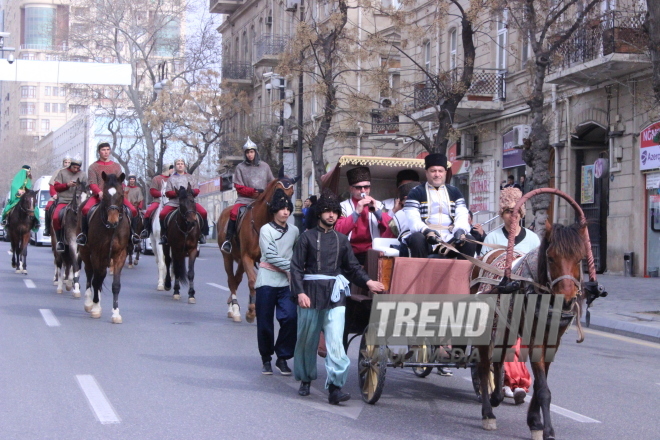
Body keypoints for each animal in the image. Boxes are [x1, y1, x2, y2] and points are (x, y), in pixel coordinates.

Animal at [78, 174, 130, 324]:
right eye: (105, 195)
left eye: (121, 194)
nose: (113, 221)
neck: (111, 230)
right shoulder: (96, 253)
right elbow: (96, 280)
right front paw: (95, 308)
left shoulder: (120, 255)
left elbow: (115, 285)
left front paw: (116, 313)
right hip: (85, 252)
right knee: (91, 274)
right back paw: (90, 303)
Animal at [218, 175, 296, 324]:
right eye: (278, 190)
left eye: (292, 193)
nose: (285, 210)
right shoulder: (247, 257)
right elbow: (253, 282)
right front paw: (251, 311)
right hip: (227, 257)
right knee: (231, 280)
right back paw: (234, 309)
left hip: (240, 261)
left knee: (236, 279)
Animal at [474, 223, 588, 440]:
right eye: (550, 258)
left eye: (580, 258)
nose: (567, 300)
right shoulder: (535, 339)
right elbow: (543, 389)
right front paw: (548, 430)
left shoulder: (553, 342)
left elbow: (541, 384)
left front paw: (535, 422)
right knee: (484, 367)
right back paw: (487, 413)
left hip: (506, 326)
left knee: (498, 358)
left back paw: (497, 396)